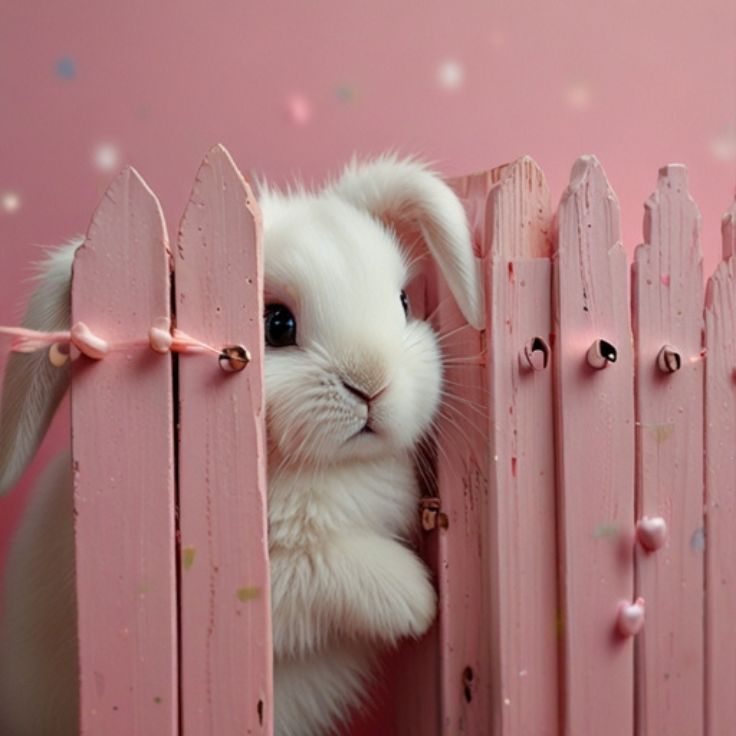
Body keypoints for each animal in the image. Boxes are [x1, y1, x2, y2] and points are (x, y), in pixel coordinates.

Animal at [0, 154, 484, 736]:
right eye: (276, 325)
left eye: (405, 302)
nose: (372, 385)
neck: (318, 471)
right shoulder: (246, 586)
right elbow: (332, 565)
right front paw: (419, 600)